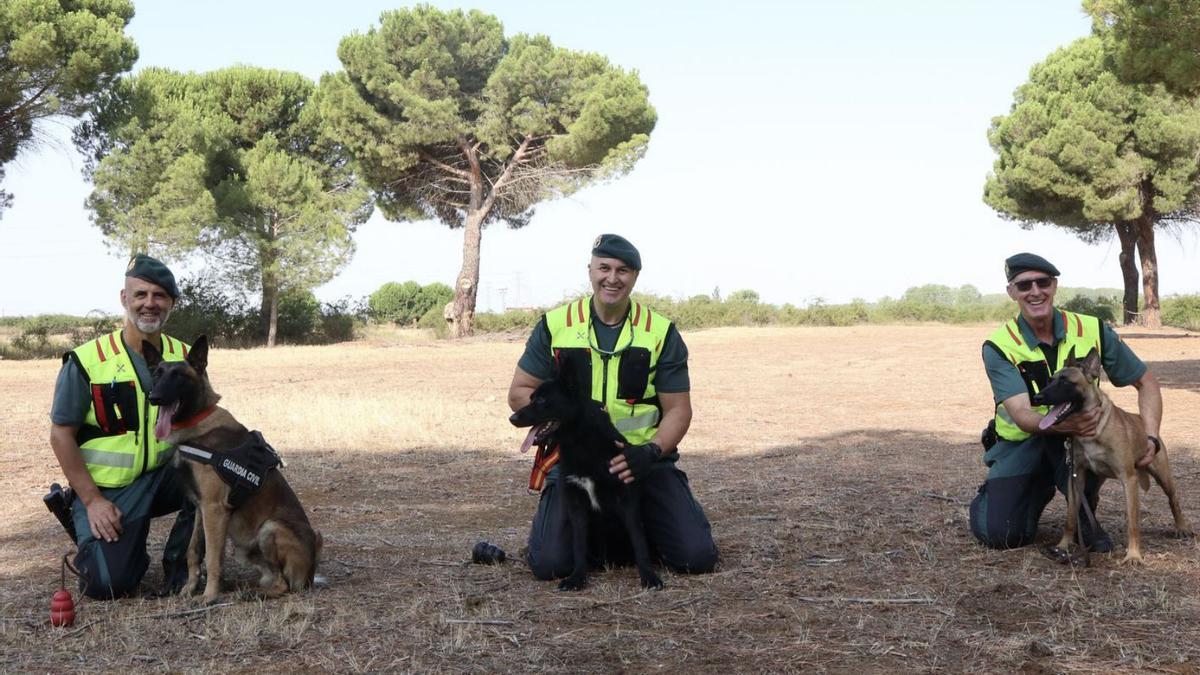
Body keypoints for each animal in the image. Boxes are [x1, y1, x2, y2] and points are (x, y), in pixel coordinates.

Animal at [142, 336, 321, 598]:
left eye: (179, 376)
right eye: (157, 374)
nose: (153, 397)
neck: (197, 422)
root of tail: (310, 574)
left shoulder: (214, 508)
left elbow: (214, 559)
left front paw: (209, 596)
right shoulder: (200, 507)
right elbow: (194, 551)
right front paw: (189, 589)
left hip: (270, 528)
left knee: (283, 585)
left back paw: (251, 594)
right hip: (244, 548)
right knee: (272, 579)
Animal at [508, 362, 667, 588]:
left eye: (541, 400)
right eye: (531, 398)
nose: (512, 418)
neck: (581, 442)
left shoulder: (627, 503)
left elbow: (639, 543)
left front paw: (649, 576)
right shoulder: (577, 506)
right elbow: (579, 546)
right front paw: (577, 577)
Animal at [1032, 345, 1190, 562]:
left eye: (1065, 382)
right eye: (1050, 380)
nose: (1037, 398)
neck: (1095, 430)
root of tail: (1142, 420)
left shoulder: (1128, 480)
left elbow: (1133, 523)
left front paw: (1133, 555)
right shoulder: (1077, 477)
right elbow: (1070, 518)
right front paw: (1063, 546)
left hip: (1163, 476)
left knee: (1174, 499)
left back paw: (1181, 527)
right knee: (1091, 502)